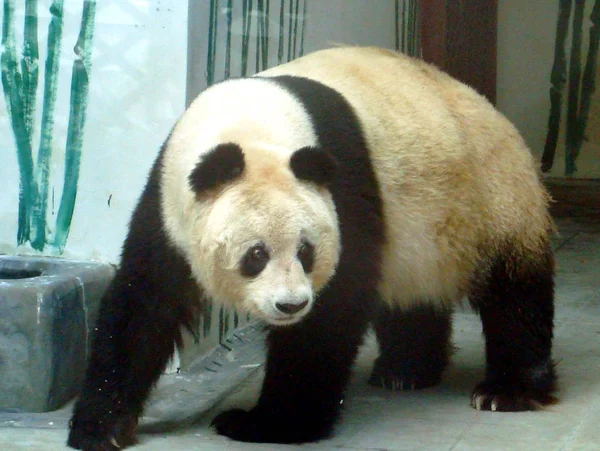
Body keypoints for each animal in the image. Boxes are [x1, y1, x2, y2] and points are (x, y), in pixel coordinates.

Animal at [67, 47, 556, 450]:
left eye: (307, 251)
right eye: (256, 255)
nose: (290, 305)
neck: (251, 126)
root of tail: (493, 111)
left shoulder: (344, 188)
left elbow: (332, 310)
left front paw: (266, 425)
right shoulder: (169, 205)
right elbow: (145, 301)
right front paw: (101, 425)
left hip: (491, 201)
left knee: (515, 294)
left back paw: (506, 391)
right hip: (425, 230)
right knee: (412, 296)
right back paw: (405, 371)